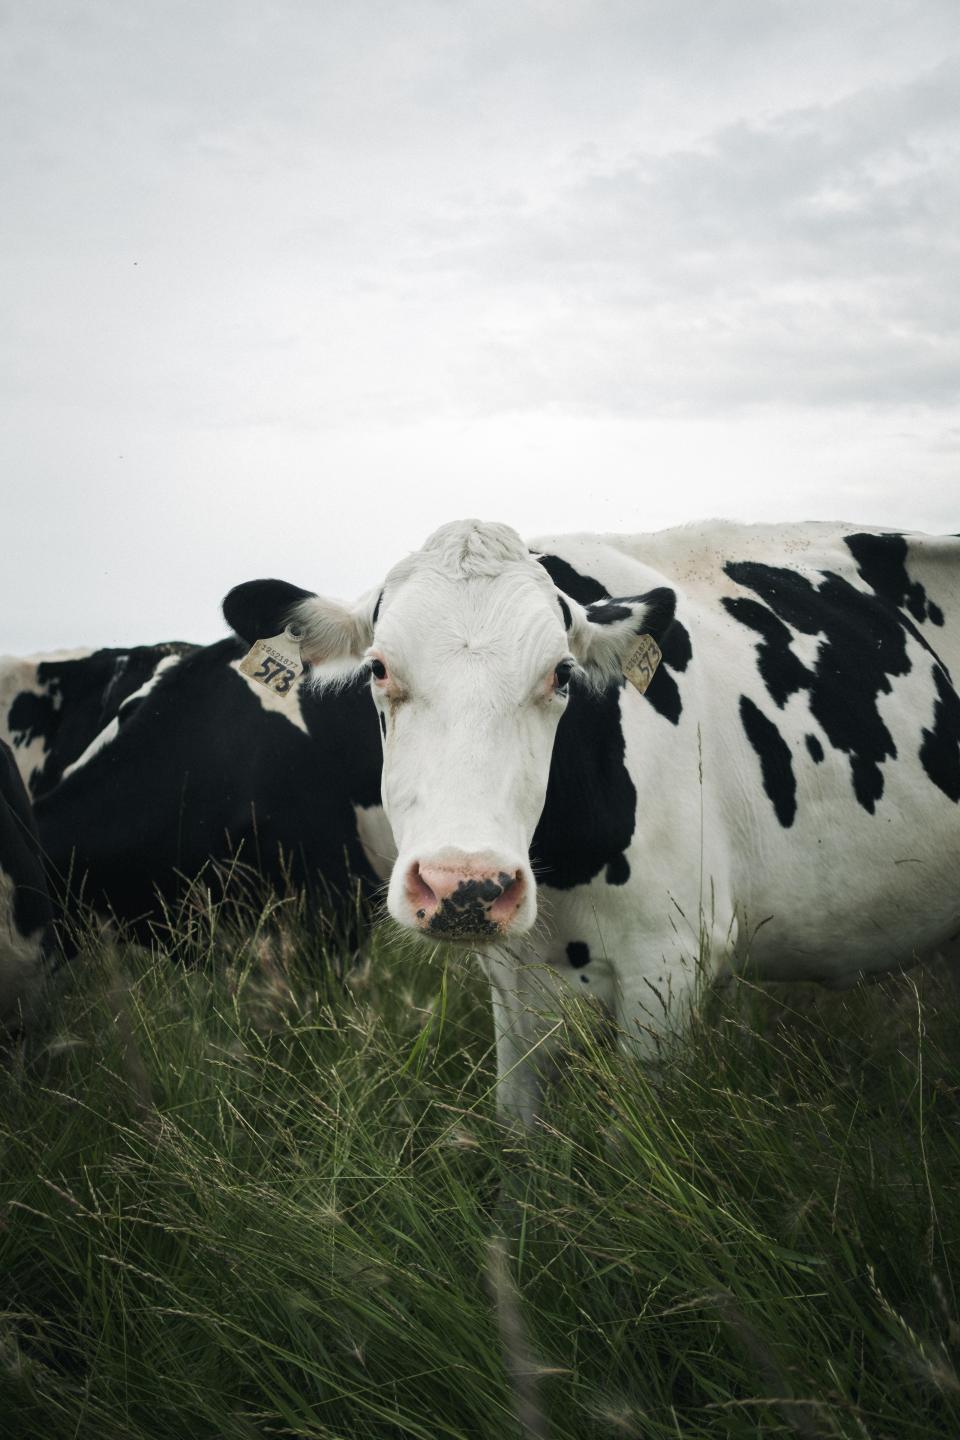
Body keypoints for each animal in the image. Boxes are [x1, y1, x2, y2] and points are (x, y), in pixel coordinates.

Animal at [225, 519, 960, 1128]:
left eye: (561, 674)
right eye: (378, 669)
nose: (465, 885)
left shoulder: (668, 965)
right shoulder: (511, 978)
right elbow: (518, 1135)